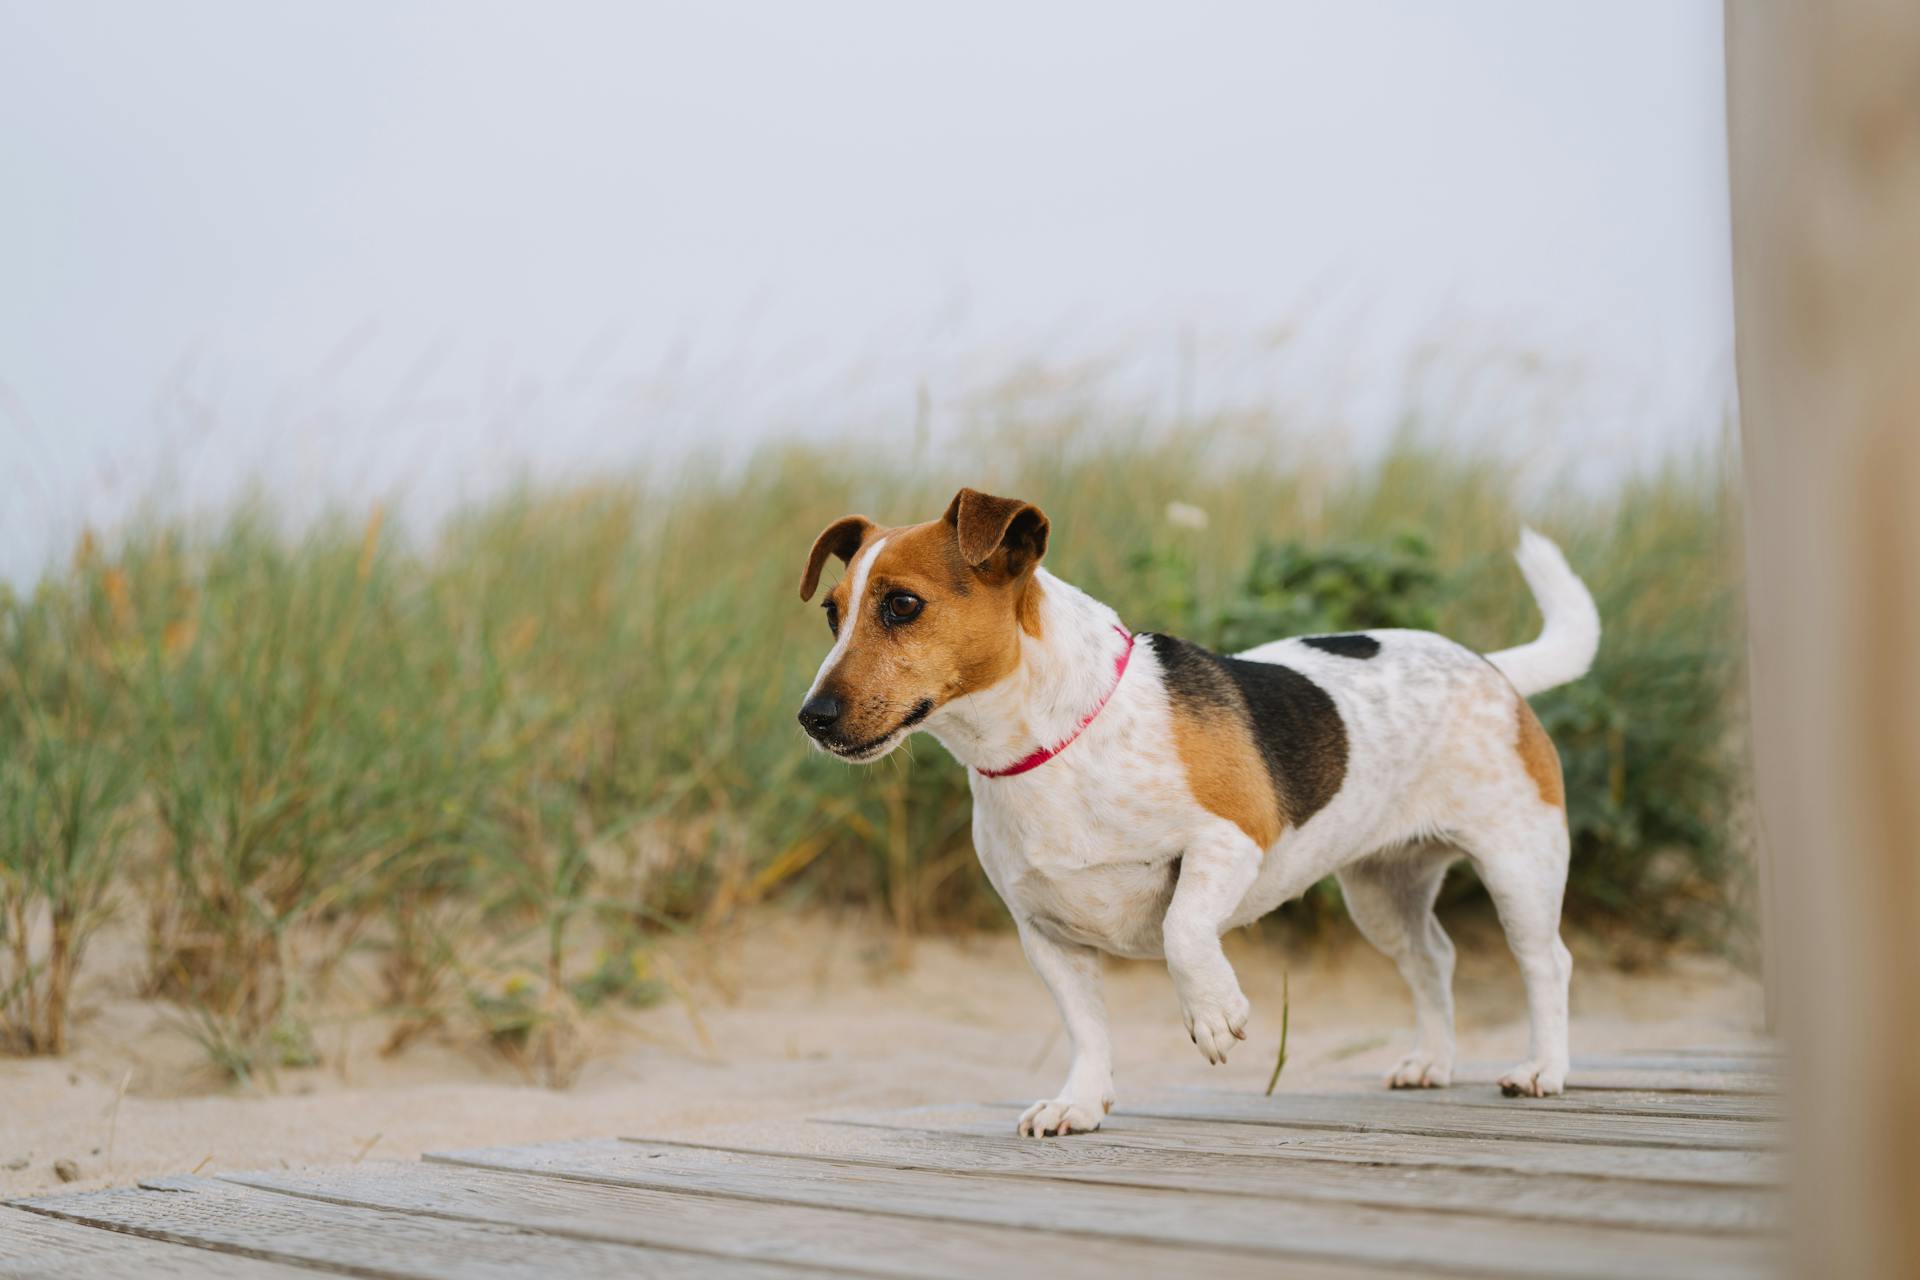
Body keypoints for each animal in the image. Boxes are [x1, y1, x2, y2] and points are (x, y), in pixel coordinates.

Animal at [798, 491, 1605, 1143]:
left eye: (903, 605)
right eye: (833, 613)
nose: (811, 717)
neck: (1054, 743)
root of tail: (1494, 668)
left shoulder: (1229, 842)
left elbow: (1184, 932)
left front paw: (1214, 1014)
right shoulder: (1046, 935)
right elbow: (1085, 1029)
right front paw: (1079, 1104)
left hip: (1519, 866)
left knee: (1549, 964)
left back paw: (1543, 1068)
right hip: (1384, 894)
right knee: (1433, 959)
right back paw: (1432, 1061)